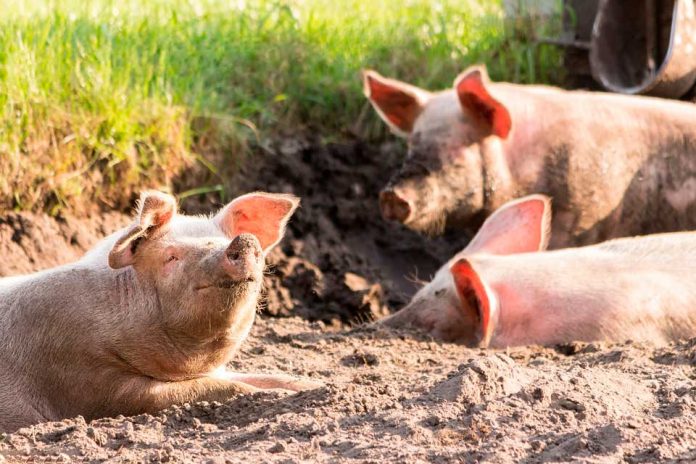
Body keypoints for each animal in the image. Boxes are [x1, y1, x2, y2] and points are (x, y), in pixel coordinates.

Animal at [0, 190, 318, 434]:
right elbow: (211, 389)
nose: (243, 240)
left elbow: (262, 377)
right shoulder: (87, 379)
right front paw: (277, 395)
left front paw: (313, 386)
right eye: (171, 257)